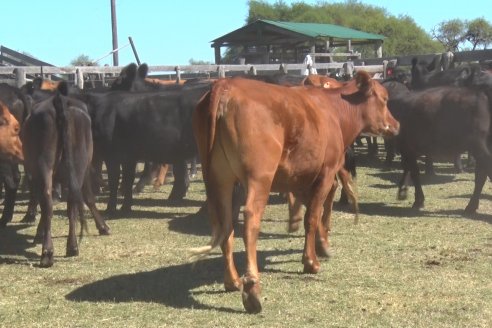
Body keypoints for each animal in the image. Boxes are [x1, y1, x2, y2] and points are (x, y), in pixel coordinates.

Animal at [22, 86, 109, 268]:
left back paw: (50, 251)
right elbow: (88, 197)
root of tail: (58, 101)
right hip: (77, 165)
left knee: (49, 201)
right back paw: (69, 247)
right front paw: (103, 226)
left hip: (46, 165)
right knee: (68, 203)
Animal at [191, 71, 400, 312]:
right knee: (251, 221)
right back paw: (252, 288)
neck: (334, 110)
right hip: (258, 177)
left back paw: (232, 280)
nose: (396, 124)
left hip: (220, 180)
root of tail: (225, 85)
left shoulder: (302, 178)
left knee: (224, 223)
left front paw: (321, 243)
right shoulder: (326, 173)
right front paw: (312, 260)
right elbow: (313, 216)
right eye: (385, 99)